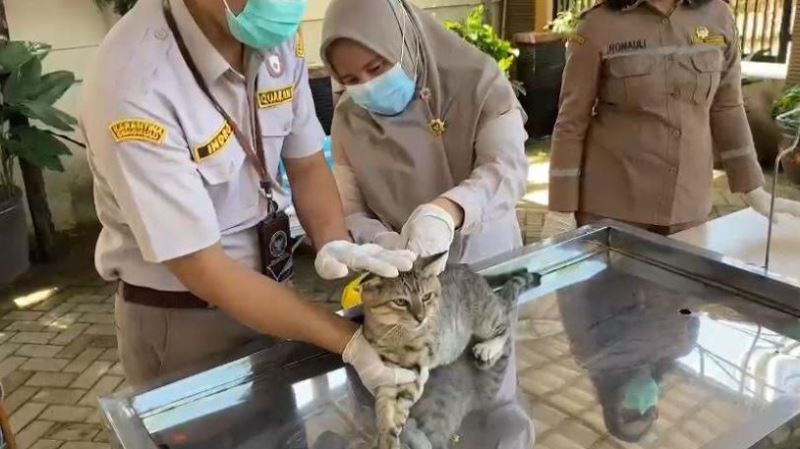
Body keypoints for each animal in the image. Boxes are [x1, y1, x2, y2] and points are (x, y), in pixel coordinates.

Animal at [360, 254, 536, 448]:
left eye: (426, 297)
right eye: (400, 301)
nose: (421, 317)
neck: (394, 334)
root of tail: (473, 273)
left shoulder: (416, 371)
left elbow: (401, 407)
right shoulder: (388, 372)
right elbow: (384, 407)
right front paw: (386, 434)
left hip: (485, 321)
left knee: (506, 325)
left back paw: (488, 347)